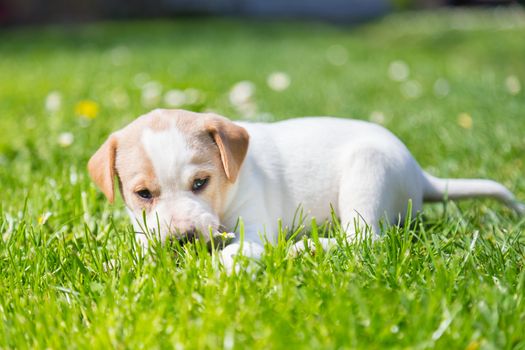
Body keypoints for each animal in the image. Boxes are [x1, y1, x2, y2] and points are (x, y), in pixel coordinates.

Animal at [88, 109, 520, 268]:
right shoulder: (145, 229)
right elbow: (140, 247)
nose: (183, 239)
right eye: (144, 195)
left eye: (200, 183)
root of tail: (418, 172)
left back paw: (305, 247)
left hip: (367, 174)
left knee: (365, 237)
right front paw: (117, 265)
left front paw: (222, 267)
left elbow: (238, 250)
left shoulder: (255, 230)